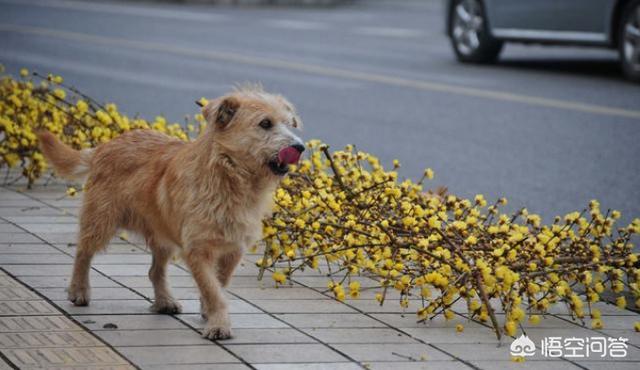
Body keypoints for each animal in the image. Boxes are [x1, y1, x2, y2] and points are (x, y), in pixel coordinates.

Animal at [37, 86, 304, 338]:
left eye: (291, 124)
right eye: (265, 123)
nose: (299, 147)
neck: (230, 178)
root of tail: (106, 145)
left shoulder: (234, 249)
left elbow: (219, 283)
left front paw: (208, 310)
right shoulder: (197, 250)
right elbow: (213, 289)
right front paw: (218, 324)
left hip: (162, 237)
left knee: (155, 271)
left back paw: (164, 301)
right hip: (101, 220)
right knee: (83, 252)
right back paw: (79, 290)